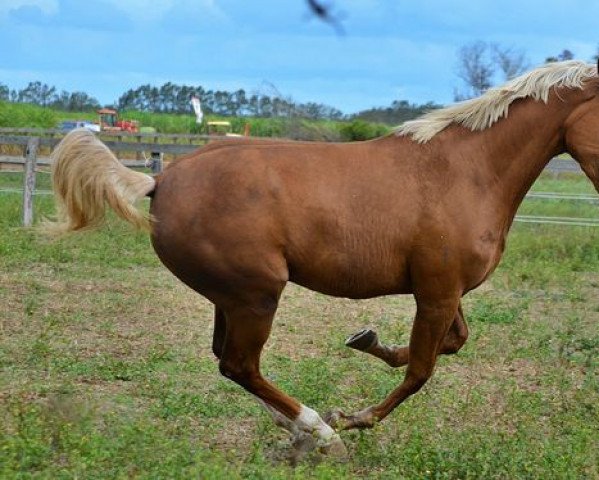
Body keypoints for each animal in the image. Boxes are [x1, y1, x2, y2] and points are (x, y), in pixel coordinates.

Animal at [48, 60, 599, 458]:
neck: (467, 170)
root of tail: (159, 181)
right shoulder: (438, 293)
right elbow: (420, 371)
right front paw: (351, 419)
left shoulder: (443, 289)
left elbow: (449, 345)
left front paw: (368, 340)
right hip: (257, 295)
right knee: (239, 365)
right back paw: (318, 433)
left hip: (231, 299)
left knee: (229, 361)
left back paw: (296, 429)